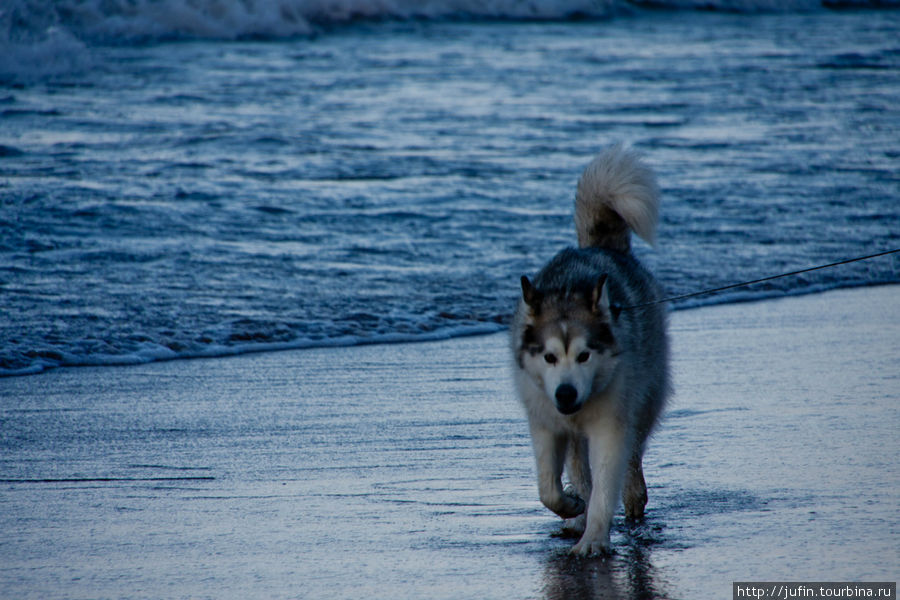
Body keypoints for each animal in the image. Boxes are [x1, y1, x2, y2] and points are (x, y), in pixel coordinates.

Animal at [506, 145, 668, 556]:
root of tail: (599, 248)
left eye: (585, 355)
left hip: (645, 396)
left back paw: (633, 496)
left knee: (633, 455)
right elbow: (548, 488)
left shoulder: (610, 425)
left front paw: (594, 537)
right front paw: (572, 507)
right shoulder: (545, 423)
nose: (565, 393)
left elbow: (607, 481)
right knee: (580, 468)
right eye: (549, 357)